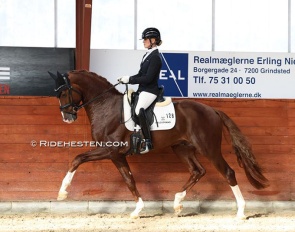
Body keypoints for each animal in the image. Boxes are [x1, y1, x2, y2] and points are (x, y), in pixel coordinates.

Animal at [49, 70, 270, 218]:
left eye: (64, 92)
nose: (67, 117)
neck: (106, 107)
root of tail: (212, 110)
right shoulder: (116, 155)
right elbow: (129, 179)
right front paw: (138, 210)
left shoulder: (110, 150)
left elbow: (78, 159)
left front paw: (62, 192)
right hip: (181, 148)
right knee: (197, 171)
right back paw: (178, 203)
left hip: (209, 149)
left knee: (228, 173)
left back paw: (240, 212)